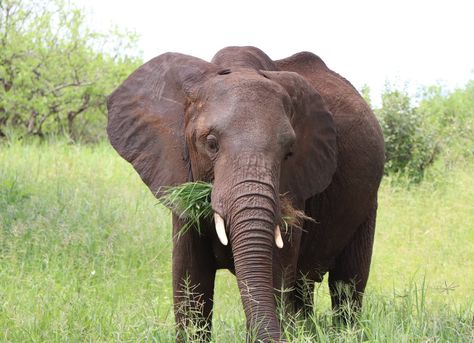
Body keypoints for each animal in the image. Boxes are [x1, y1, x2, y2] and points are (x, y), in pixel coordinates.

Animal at [107, 46, 386, 343]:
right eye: (211, 144)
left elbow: (275, 276)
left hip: (368, 202)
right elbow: (190, 281)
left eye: (289, 152)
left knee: (347, 283)